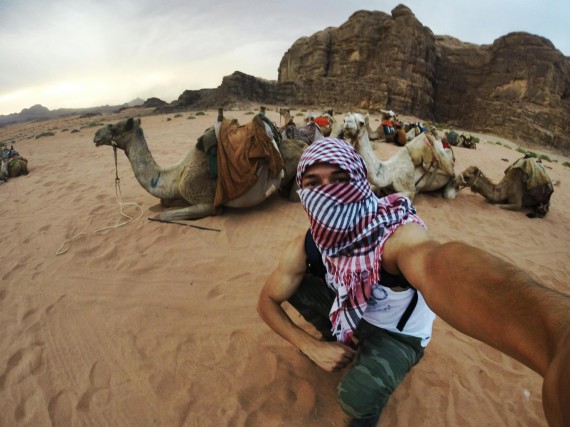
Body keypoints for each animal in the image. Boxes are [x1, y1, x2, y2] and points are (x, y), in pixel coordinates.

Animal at [93, 111, 306, 221]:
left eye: (115, 127)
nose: (95, 135)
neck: (176, 175)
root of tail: (304, 145)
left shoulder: (207, 203)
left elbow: (162, 216)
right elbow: (164, 202)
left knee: (294, 197)